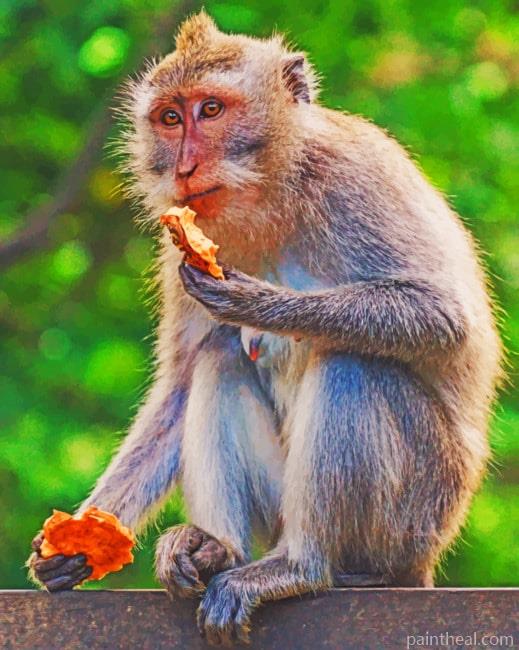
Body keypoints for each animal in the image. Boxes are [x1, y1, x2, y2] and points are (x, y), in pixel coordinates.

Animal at [28, 12, 502, 645]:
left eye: (211, 110)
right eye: (170, 118)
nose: (184, 167)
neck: (271, 191)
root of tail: (424, 559)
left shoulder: (356, 178)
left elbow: (445, 317)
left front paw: (254, 302)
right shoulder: (178, 241)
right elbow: (181, 383)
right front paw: (82, 539)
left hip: (414, 516)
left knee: (352, 362)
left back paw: (301, 568)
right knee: (219, 360)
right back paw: (216, 550)